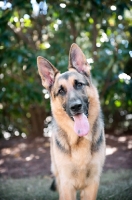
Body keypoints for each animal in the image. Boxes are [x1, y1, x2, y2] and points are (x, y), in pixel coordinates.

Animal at [36, 44, 105, 200]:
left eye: (79, 84)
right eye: (61, 91)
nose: (75, 106)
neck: (79, 140)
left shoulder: (93, 183)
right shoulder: (66, 184)